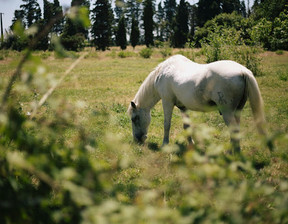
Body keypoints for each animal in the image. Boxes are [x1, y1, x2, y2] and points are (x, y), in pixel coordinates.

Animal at [127, 54, 266, 152]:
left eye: (134, 118)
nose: (138, 140)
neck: (164, 70)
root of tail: (243, 71)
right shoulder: (183, 107)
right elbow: (187, 126)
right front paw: (190, 145)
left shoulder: (167, 102)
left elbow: (167, 124)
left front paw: (164, 145)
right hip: (237, 111)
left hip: (227, 112)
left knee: (234, 130)